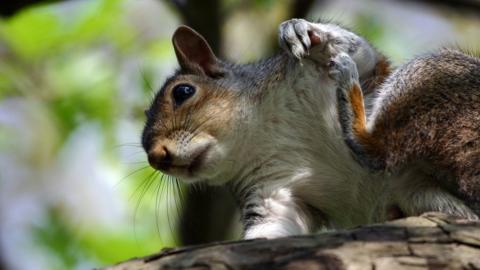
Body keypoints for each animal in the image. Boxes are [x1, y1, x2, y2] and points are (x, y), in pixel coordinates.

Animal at [141, 18, 478, 238]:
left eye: (183, 92)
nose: (156, 157)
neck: (260, 132)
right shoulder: (270, 194)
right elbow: (271, 229)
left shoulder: (339, 72)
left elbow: (363, 54)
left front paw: (304, 30)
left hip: (432, 76)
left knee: (377, 149)